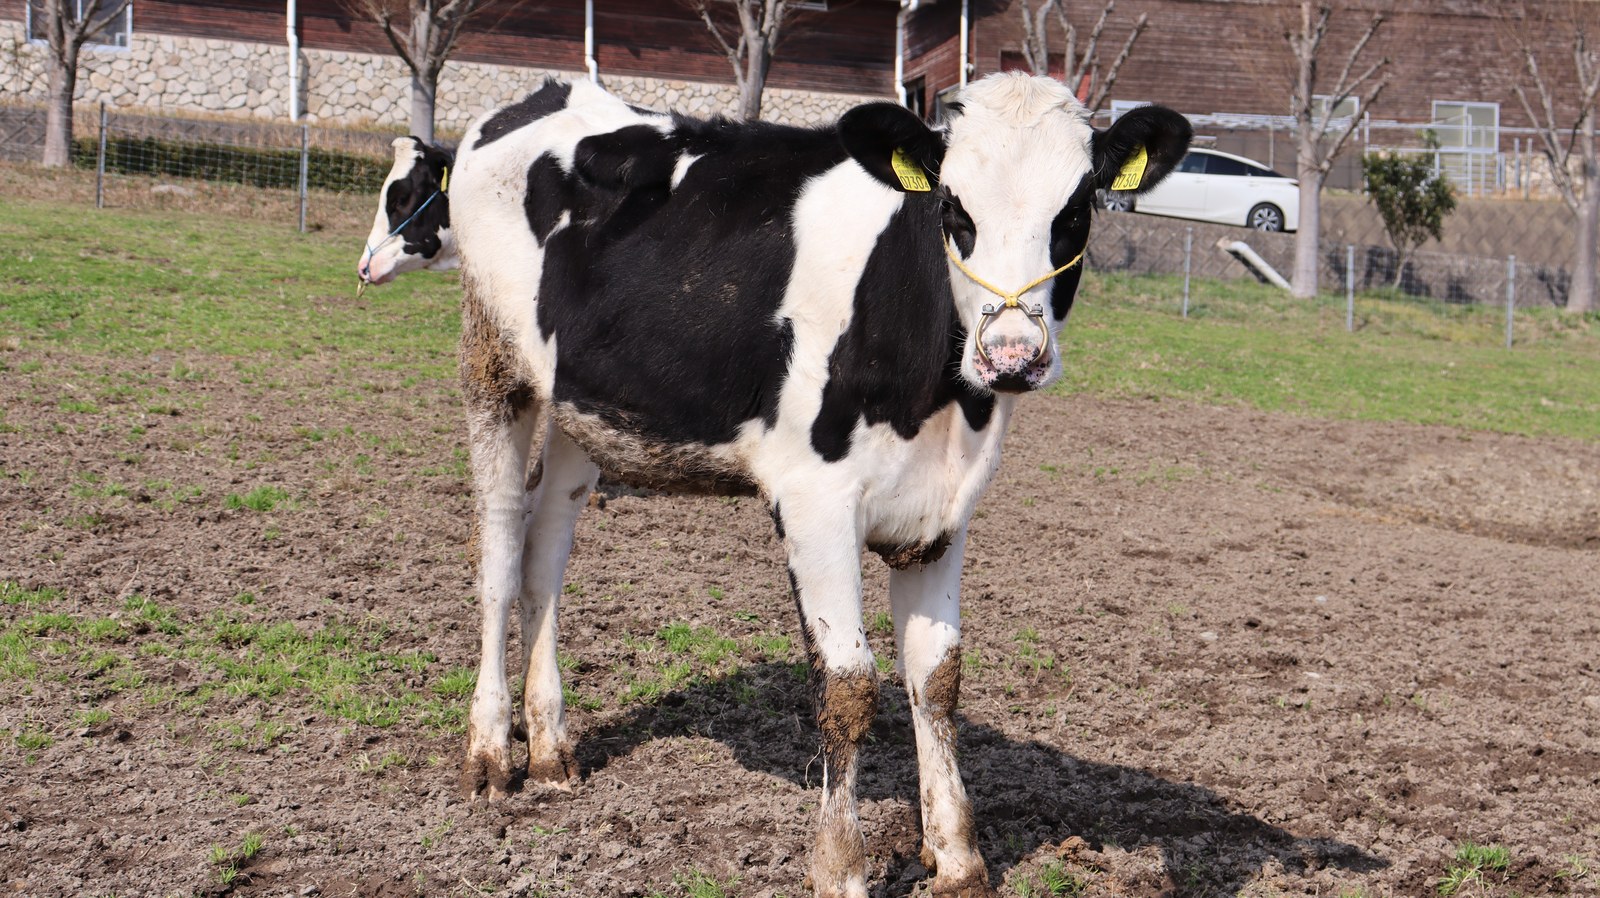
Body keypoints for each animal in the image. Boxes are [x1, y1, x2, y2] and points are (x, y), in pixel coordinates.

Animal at [363, 75, 1189, 897]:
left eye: (1075, 212)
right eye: (954, 209)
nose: (1011, 354)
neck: (944, 400)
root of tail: (548, 92)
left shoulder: (943, 511)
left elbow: (937, 678)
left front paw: (957, 858)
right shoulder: (814, 499)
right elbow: (849, 685)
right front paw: (842, 867)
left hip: (582, 401)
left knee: (546, 553)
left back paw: (550, 747)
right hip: (492, 365)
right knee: (501, 549)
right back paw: (490, 755)